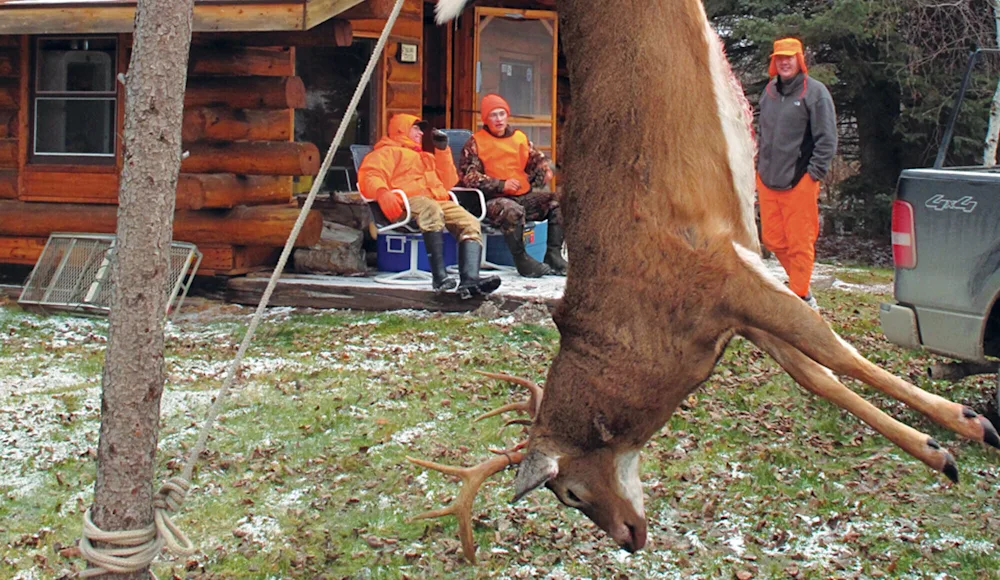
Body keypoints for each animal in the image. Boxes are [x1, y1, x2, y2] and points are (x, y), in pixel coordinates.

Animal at [408, 0, 1000, 564]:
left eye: (570, 493)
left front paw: (964, 429)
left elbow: (835, 352)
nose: (629, 538)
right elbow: (813, 373)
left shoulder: (719, 270)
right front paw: (951, 442)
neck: (641, 333)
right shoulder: (731, 308)